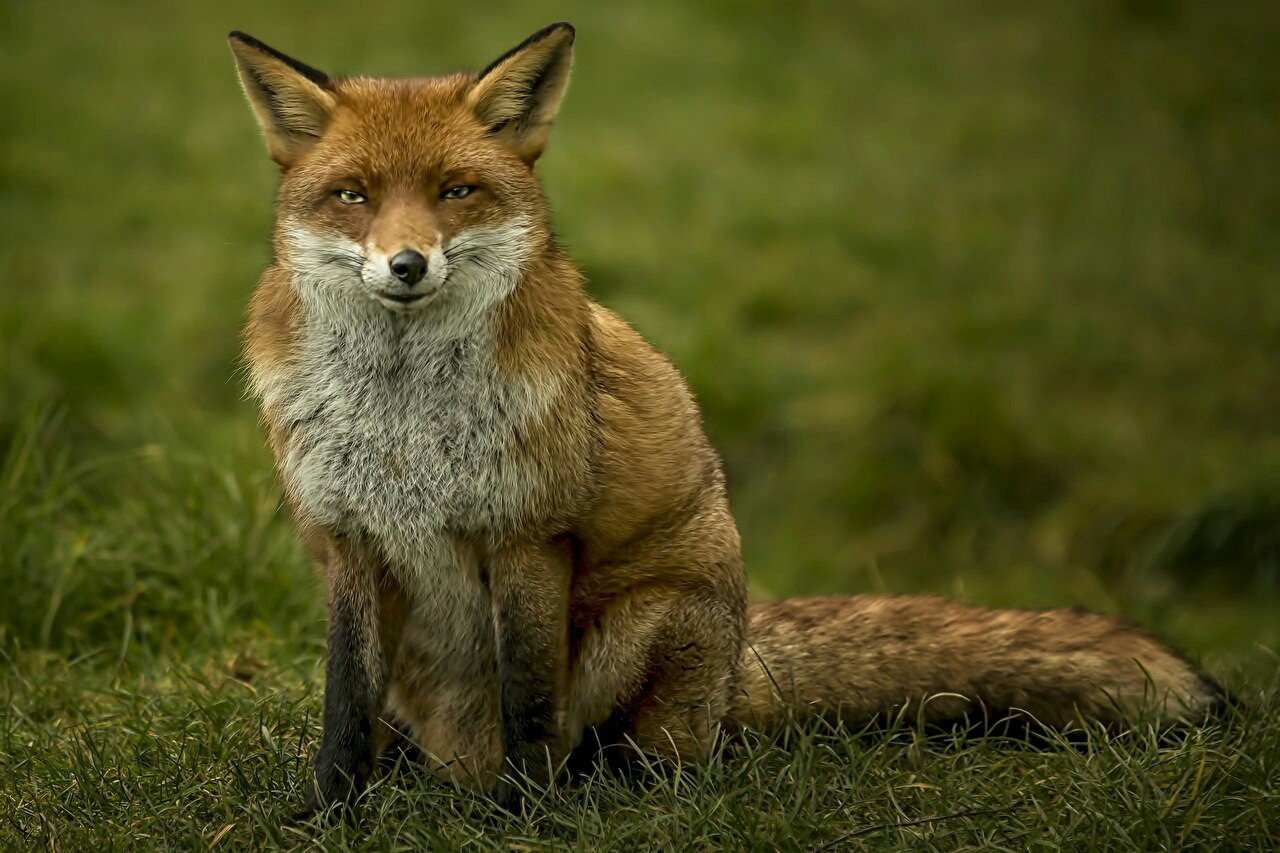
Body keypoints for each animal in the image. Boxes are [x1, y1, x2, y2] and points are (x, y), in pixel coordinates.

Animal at [230, 21, 1228, 819]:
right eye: (354, 195)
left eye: (455, 191)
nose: (406, 264)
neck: (403, 415)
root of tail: (738, 661)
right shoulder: (350, 539)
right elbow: (343, 708)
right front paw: (328, 813)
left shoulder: (528, 534)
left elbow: (528, 701)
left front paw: (522, 817)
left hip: (647, 632)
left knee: (630, 754)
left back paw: (595, 789)